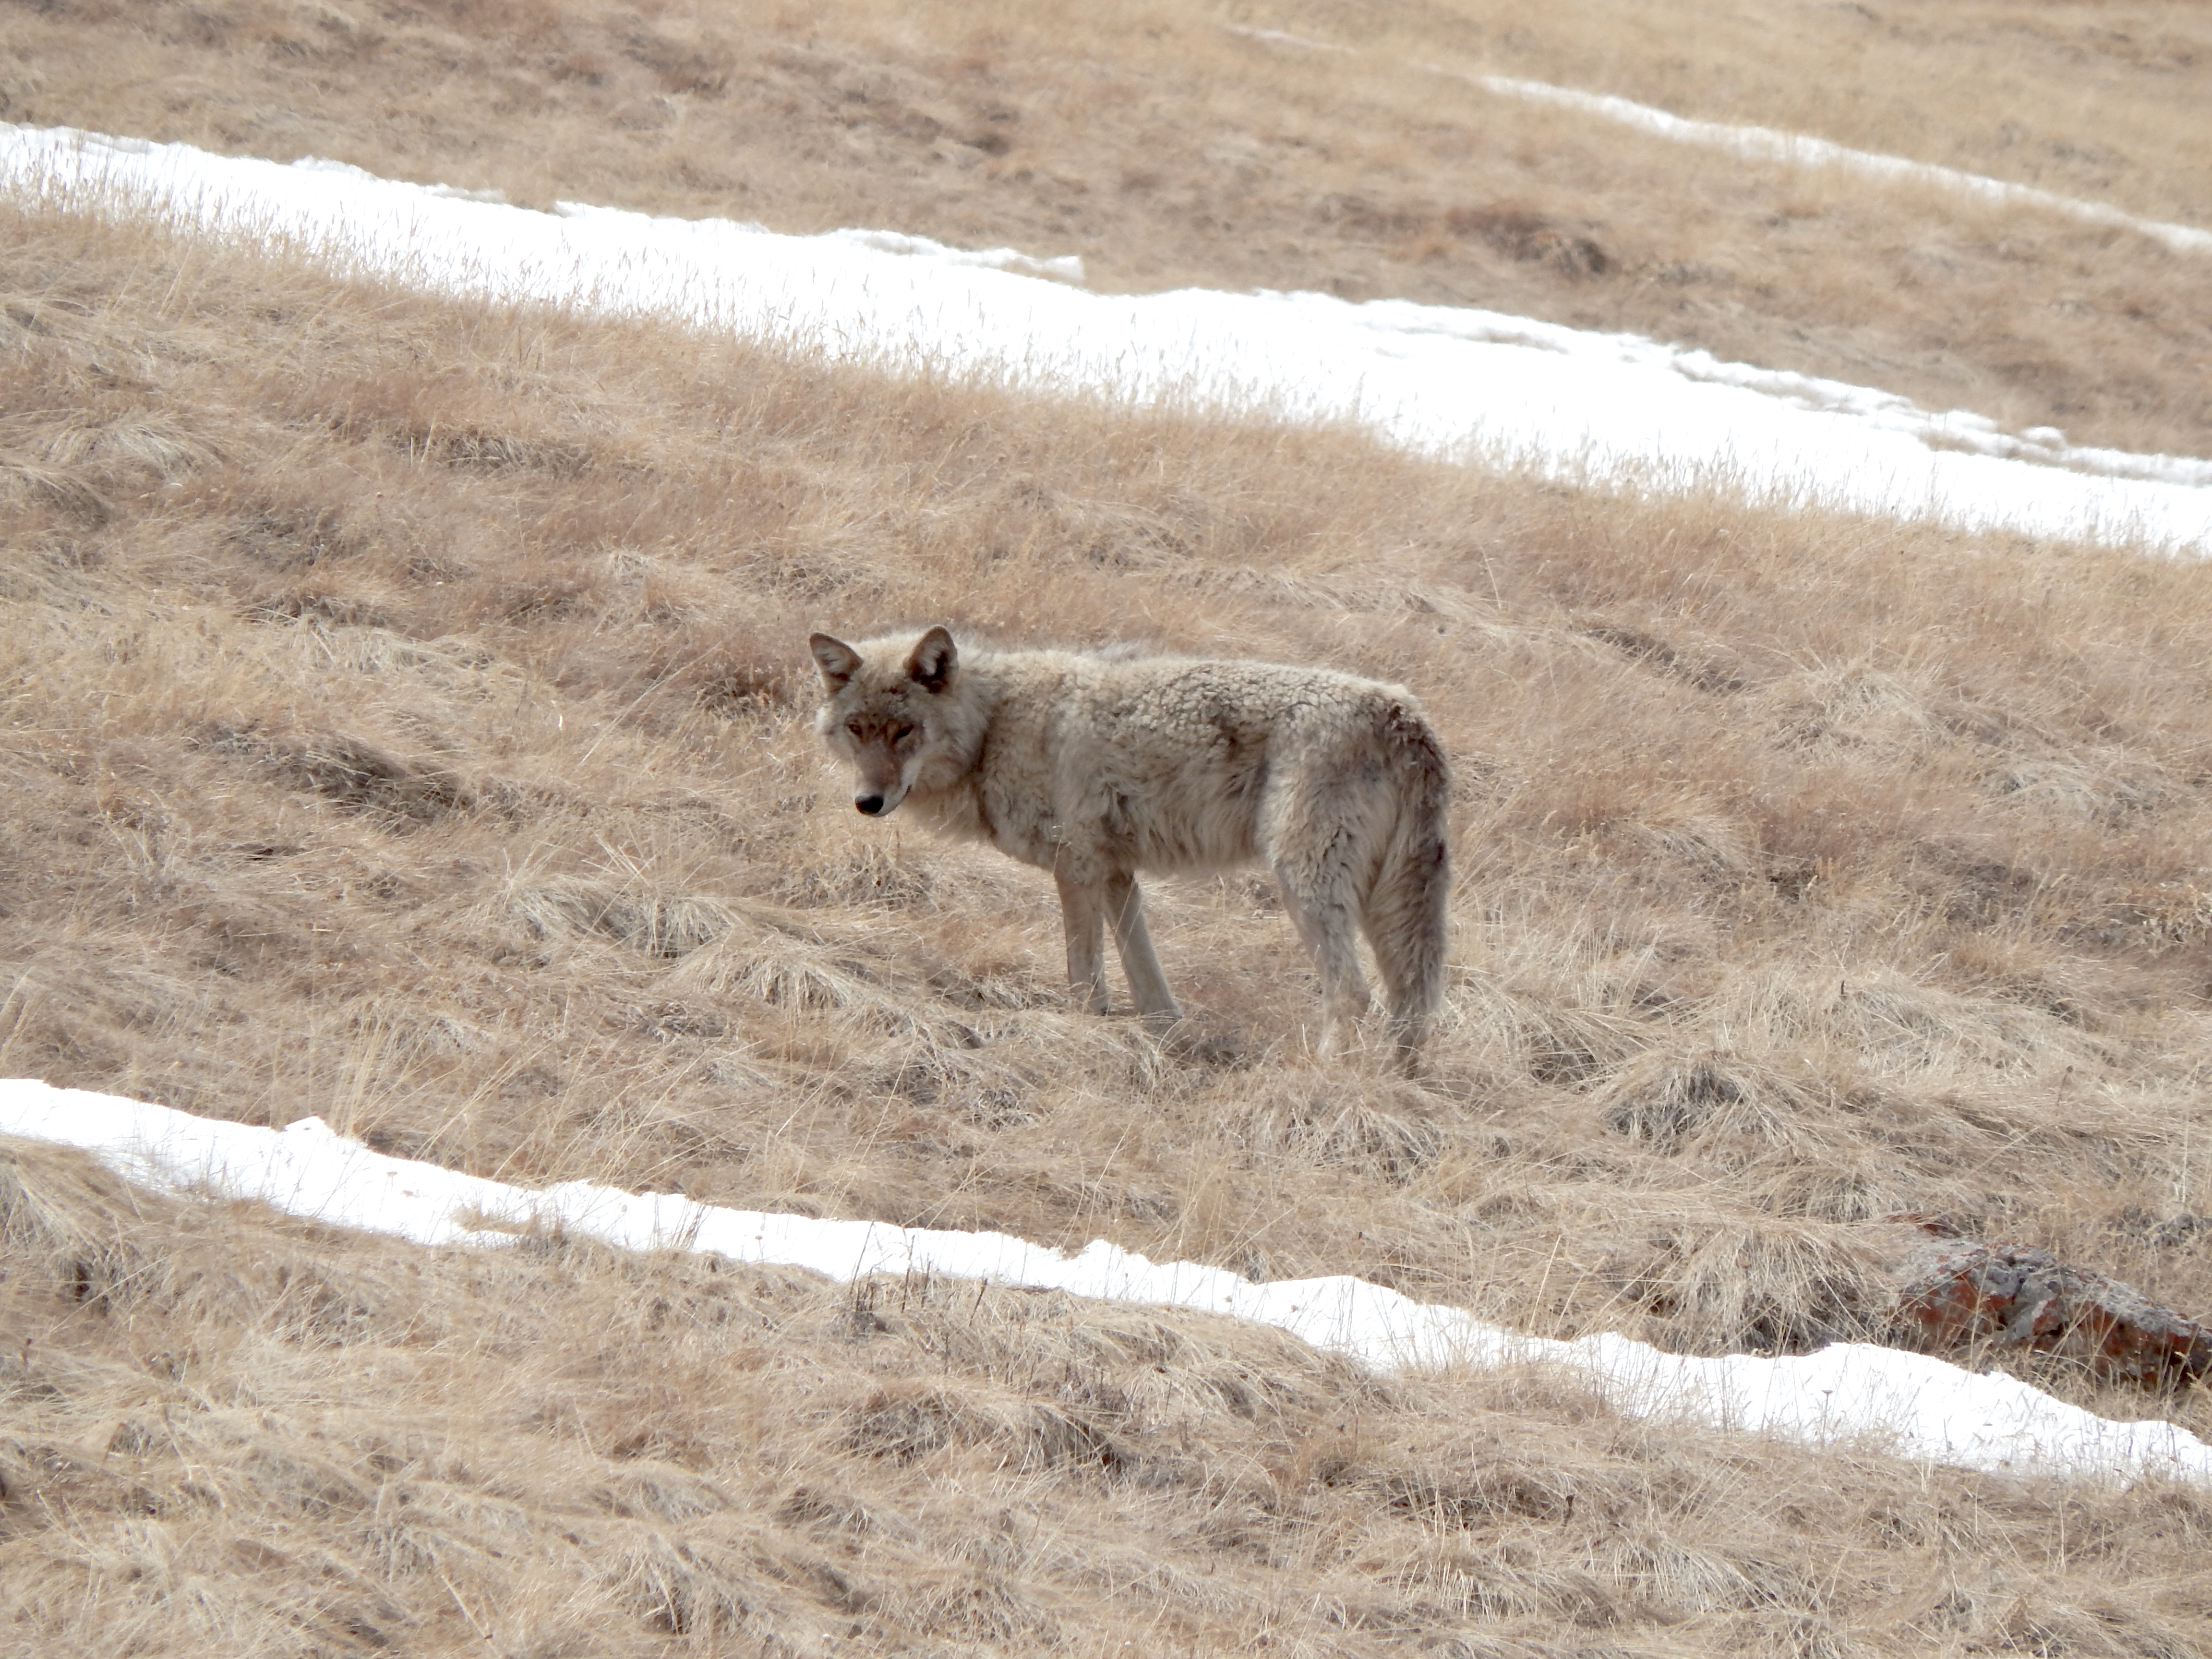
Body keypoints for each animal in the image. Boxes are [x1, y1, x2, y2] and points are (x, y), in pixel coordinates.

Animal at [808, 625, 1451, 1070]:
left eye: (904, 731)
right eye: (857, 730)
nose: (868, 802)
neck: (995, 726)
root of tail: (1406, 715)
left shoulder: (1076, 867)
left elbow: (1084, 980)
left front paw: (1084, 1036)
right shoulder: (1118, 874)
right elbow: (1152, 991)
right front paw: (1165, 1046)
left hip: (1306, 886)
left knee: (1352, 993)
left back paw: (1324, 1078)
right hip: (1386, 907)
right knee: (1412, 1003)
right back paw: (1396, 1084)